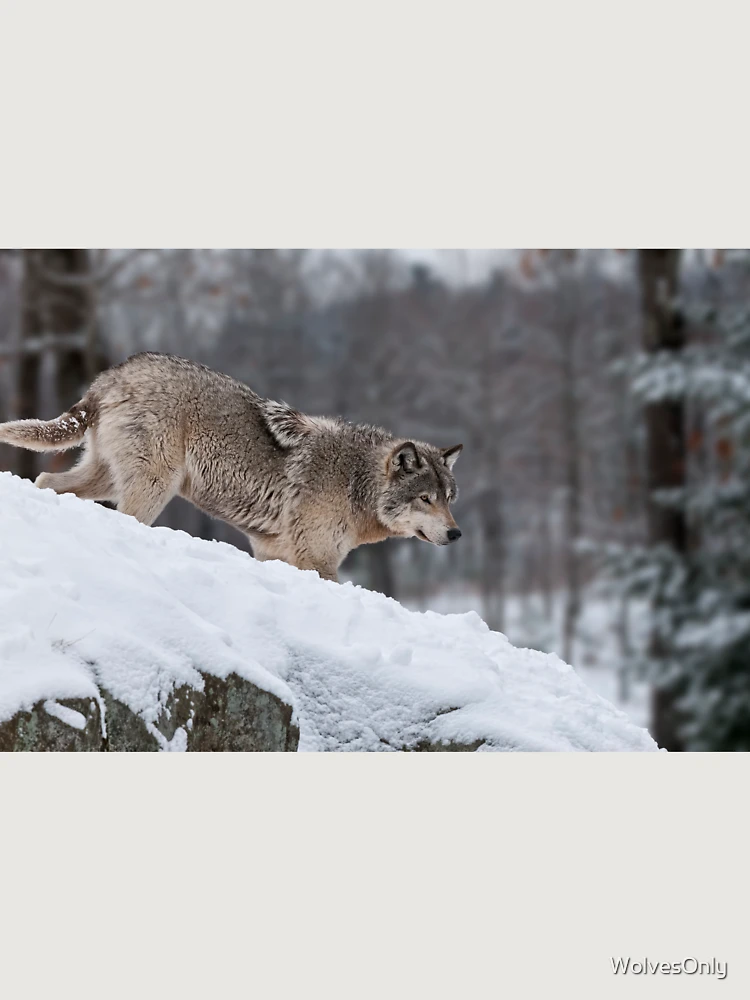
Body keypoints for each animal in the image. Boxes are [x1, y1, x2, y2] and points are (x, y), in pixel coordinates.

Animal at [0, 353, 463, 581]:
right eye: (426, 499)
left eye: (450, 499)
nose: (457, 534)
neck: (355, 480)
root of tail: (111, 375)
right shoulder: (317, 560)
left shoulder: (274, 553)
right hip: (151, 489)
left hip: (105, 479)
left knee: (46, 478)